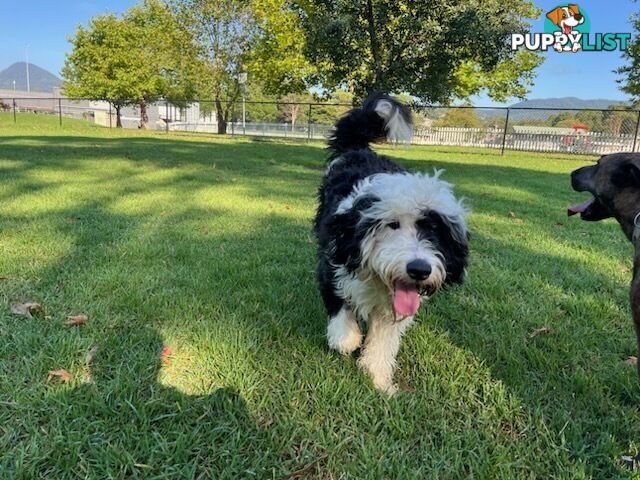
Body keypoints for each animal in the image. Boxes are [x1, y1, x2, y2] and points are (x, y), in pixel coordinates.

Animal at [316, 94, 470, 394]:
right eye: (393, 225)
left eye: (435, 231)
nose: (419, 269)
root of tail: (358, 150)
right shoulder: (333, 264)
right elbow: (341, 311)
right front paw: (347, 338)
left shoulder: (393, 309)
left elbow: (382, 341)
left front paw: (376, 377)